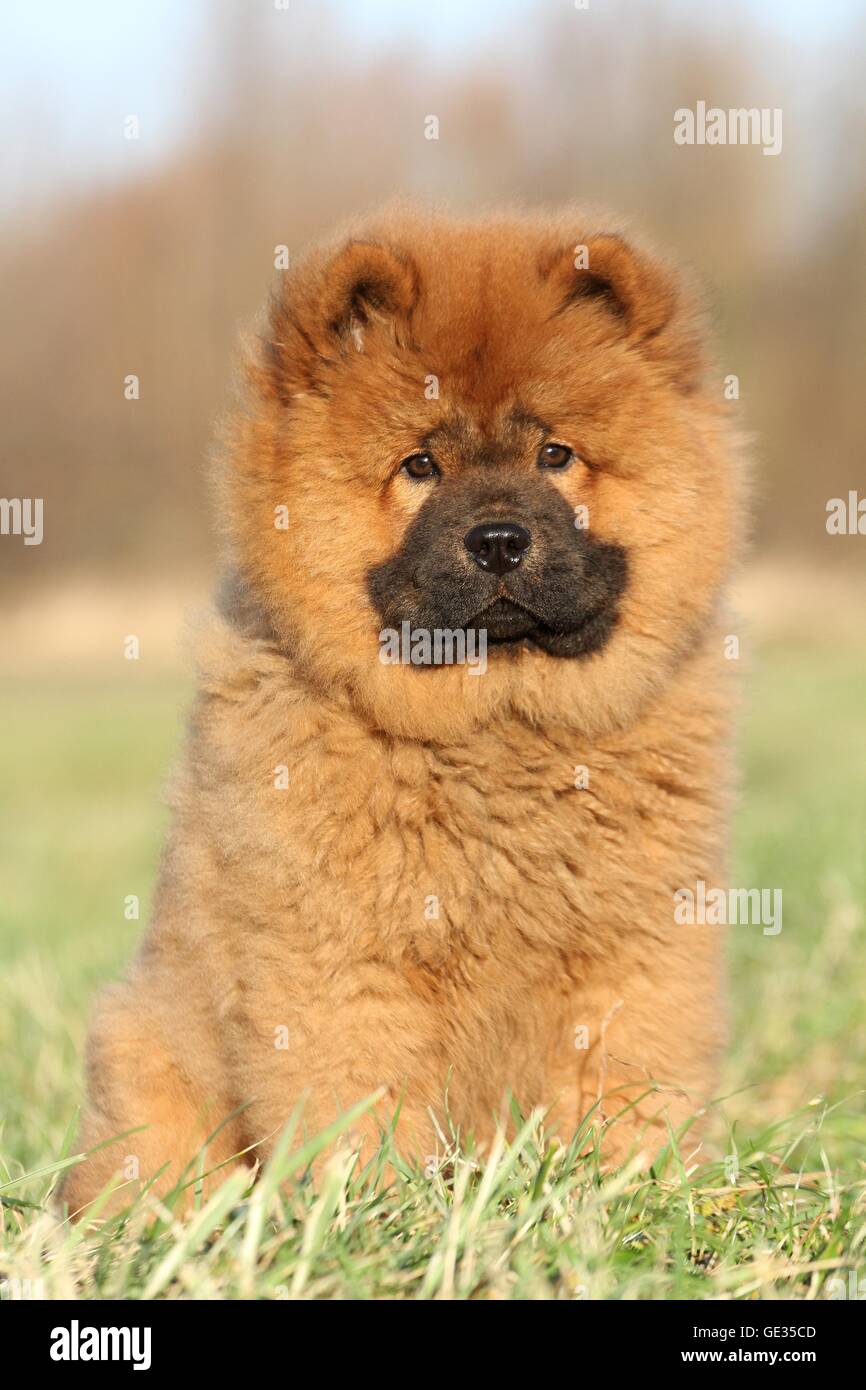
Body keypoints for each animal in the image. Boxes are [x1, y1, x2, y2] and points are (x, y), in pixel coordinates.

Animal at [66, 205, 745, 1217]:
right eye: (420, 464)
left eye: (556, 456)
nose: (500, 539)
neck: (496, 732)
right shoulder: (341, 963)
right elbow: (358, 1102)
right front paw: (370, 1215)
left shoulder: (633, 949)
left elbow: (624, 1084)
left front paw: (624, 1194)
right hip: (145, 1052)